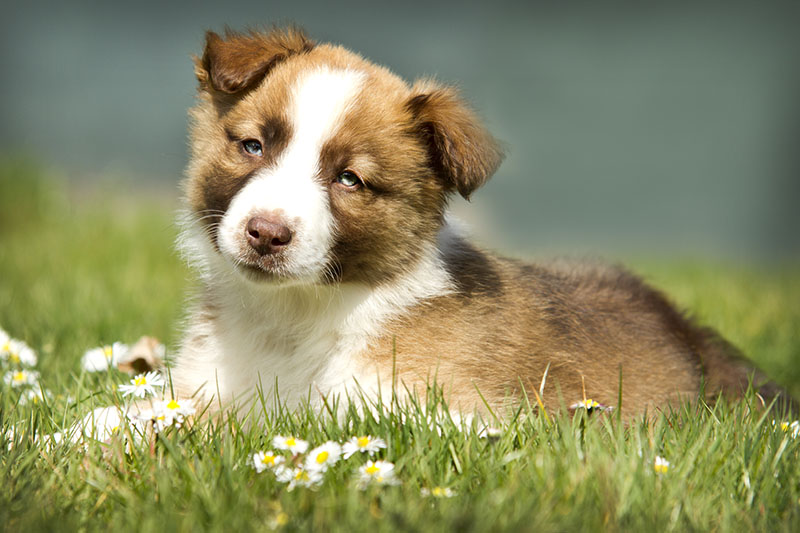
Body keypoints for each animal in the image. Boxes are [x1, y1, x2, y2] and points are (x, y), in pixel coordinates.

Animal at [173, 27, 780, 418]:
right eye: (252, 146)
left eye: (350, 179)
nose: (266, 234)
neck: (295, 315)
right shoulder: (202, 387)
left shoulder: (434, 412)